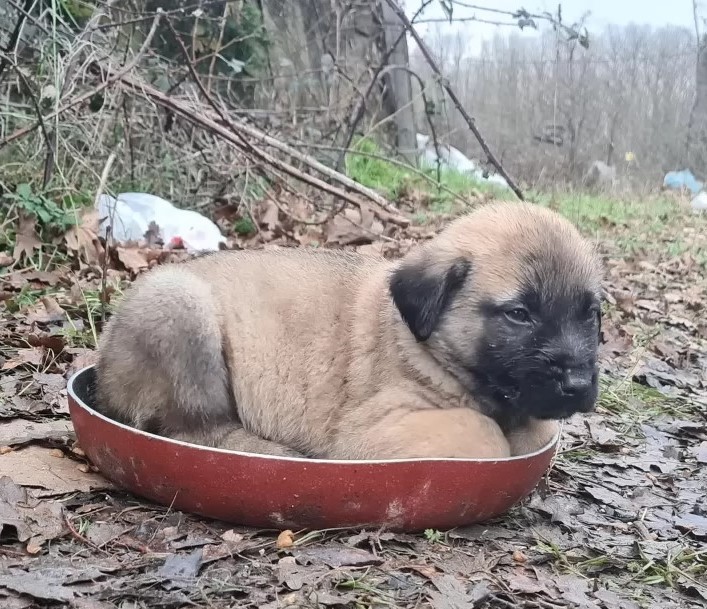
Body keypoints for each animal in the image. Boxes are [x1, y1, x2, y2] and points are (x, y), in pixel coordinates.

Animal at [94, 202, 604, 458]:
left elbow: (533, 432)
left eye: (591, 314)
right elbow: (485, 433)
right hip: (182, 306)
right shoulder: (373, 428)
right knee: (190, 430)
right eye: (519, 314)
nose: (579, 383)